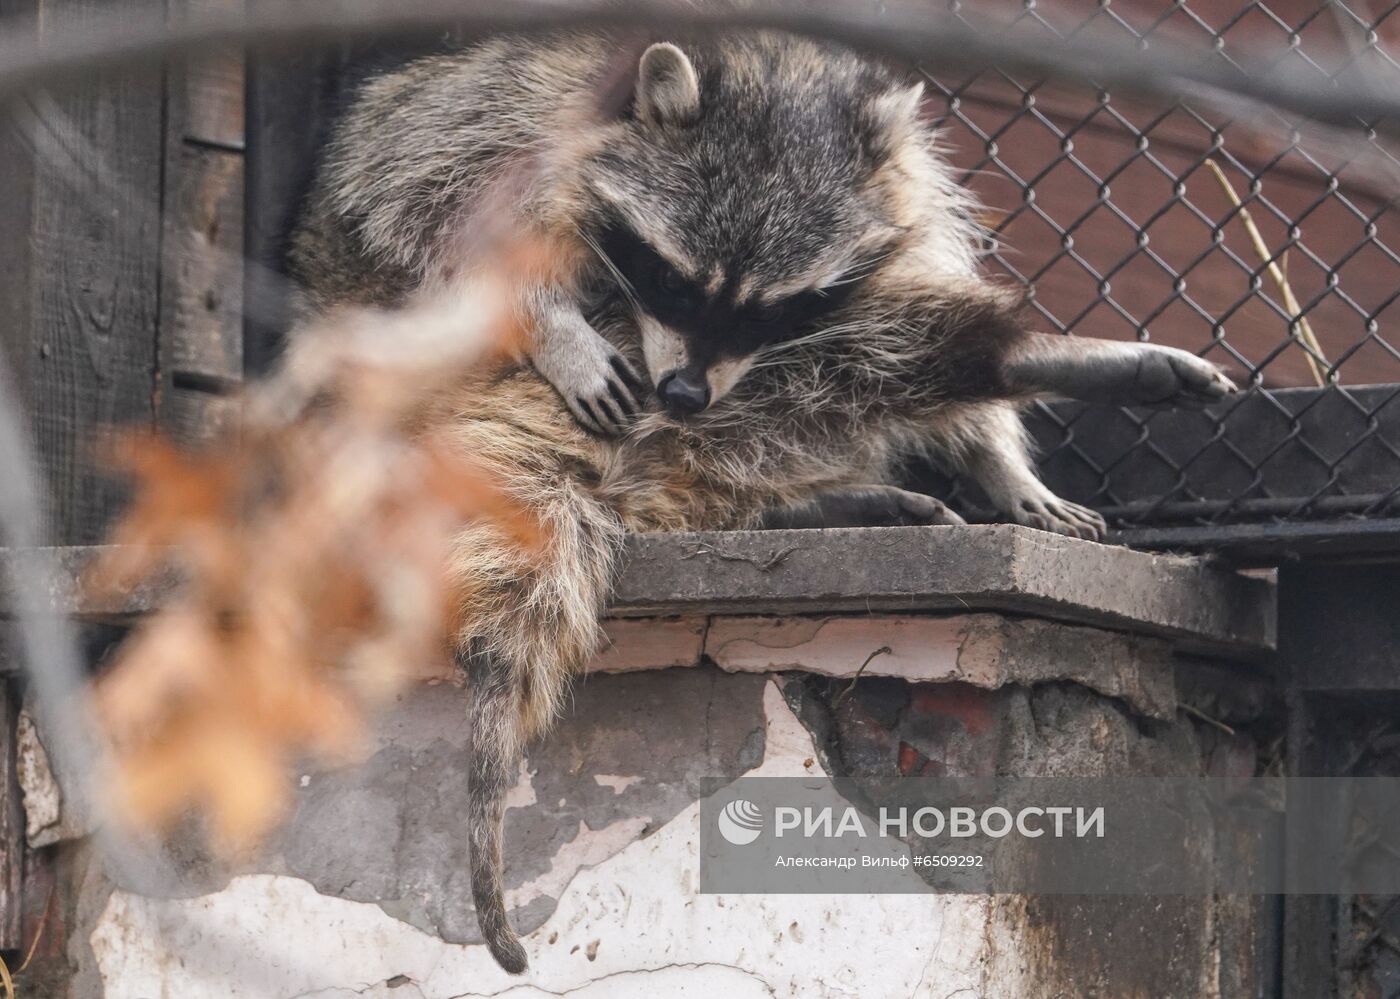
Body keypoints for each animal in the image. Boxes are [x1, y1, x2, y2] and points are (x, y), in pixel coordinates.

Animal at [287, 33, 1237, 973]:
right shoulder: (500, 111)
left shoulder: (903, 204)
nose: (682, 391)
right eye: (673, 281)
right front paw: (556, 325)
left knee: (855, 358)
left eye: (773, 306)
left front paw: (998, 459)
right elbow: (415, 200)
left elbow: (911, 269)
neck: (765, 69)